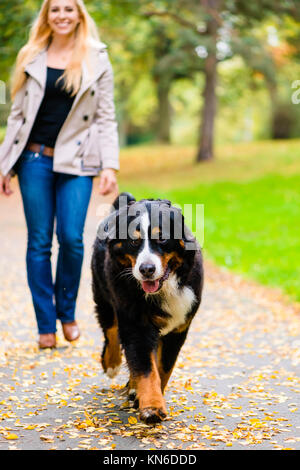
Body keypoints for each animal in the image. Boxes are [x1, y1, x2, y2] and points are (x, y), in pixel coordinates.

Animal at [91, 193, 204, 424]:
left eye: (162, 239)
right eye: (134, 241)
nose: (146, 269)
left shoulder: (178, 329)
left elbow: (163, 368)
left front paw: (148, 397)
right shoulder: (136, 324)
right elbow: (145, 368)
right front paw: (152, 406)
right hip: (104, 295)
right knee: (111, 331)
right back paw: (112, 364)